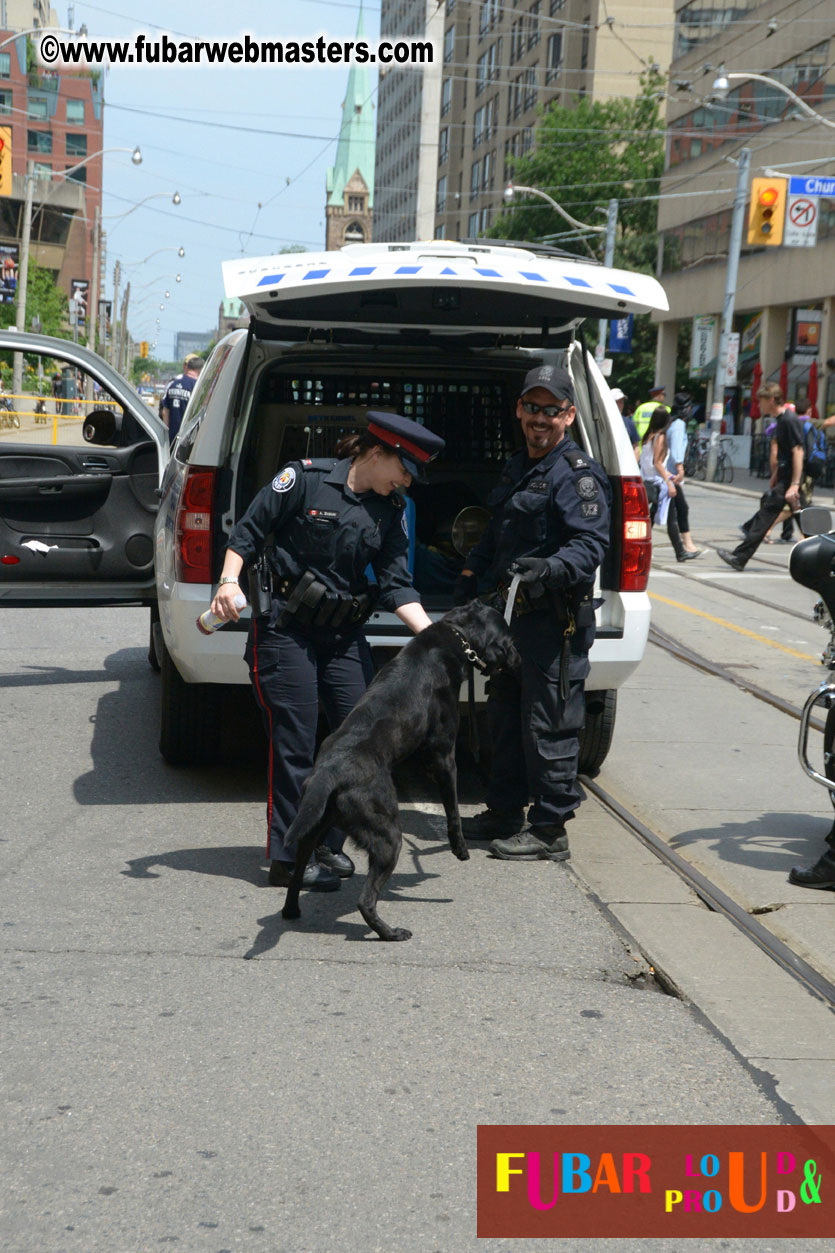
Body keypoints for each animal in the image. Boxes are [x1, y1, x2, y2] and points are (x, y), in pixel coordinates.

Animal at [279, 596, 514, 942]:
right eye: (511, 639)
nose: (520, 660)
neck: (454, 635)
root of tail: (328, 772)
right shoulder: (443, 756)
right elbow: (453, 809)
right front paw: (460, 847)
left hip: (314, 827)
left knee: (296, 876)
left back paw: (292, 911)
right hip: (388, 835)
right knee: (365, 900)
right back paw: (389, 933)